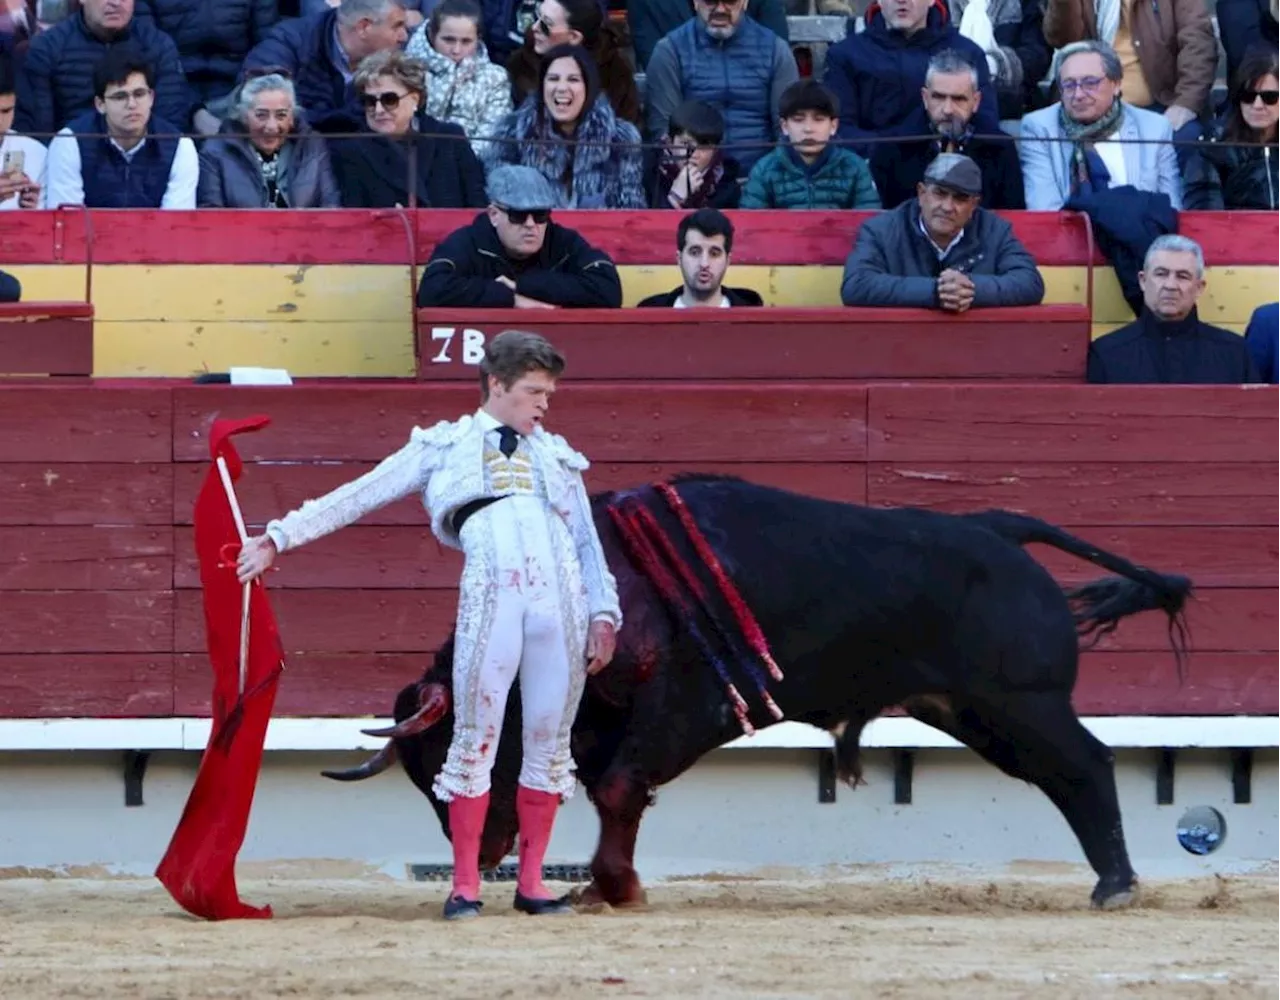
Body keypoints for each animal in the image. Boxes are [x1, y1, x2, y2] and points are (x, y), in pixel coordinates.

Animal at [322, 478, 1187, 911]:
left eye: (464, 737)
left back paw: (1116, 886)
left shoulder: (685, 708)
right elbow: (609, 792)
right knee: (1063, 775)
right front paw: (604, 884)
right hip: (976, 711)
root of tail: (998, 526)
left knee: (1085, 766)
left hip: (1021, 701)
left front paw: (615, 887)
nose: (481, 854)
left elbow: (618, 787)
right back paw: (1112, 881)